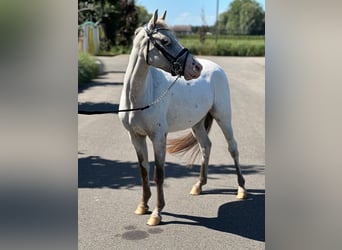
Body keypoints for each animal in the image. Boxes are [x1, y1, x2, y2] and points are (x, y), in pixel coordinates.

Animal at [117, 9, 246, 226]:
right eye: (166, 41)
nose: (196, 67)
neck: (141, 96)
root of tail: (216, 68)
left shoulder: (159, 138)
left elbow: (159, 174)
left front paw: (156, 213)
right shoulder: (135, 137)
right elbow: (143, 172)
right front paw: (142, 206)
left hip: (223, 117)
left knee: (233, 148)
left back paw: (241, 189)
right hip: (197, 124)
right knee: (206, 146)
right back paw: (199, 186)